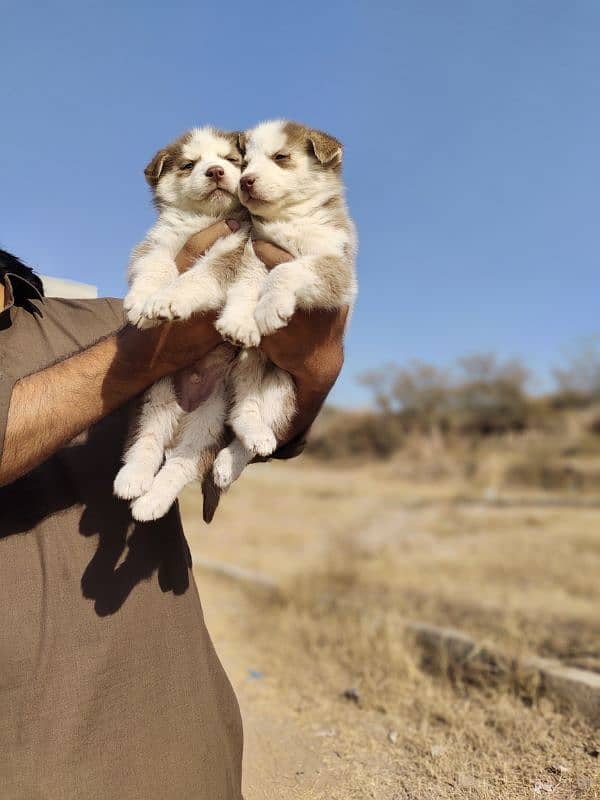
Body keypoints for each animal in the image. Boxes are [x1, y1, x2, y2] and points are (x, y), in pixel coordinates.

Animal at [115, 127, 248, 520]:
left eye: (231, 159)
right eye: (190, 164)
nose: (216, 171)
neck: (202, 220)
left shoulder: (236, 250)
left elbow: (200, 276)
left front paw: (169, 299)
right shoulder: (157, 243)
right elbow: (156, 264)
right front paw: (142, 302)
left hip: (212, 418)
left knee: (183, 463)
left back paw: (151, 502)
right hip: (156, 394)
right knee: (148, 439)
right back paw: (133, 481)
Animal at [213, 119, 358, 490]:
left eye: (280, 157)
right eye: (245, 163)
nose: (245, 181)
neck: (290, 219)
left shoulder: (336, 269)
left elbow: (288, 269)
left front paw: (268, 308)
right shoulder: (255, 250)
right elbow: (247, 285)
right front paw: (241, 320)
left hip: (283, 387)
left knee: (259, 429)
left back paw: (233, 459)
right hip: (246, 366)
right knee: (241, 413)